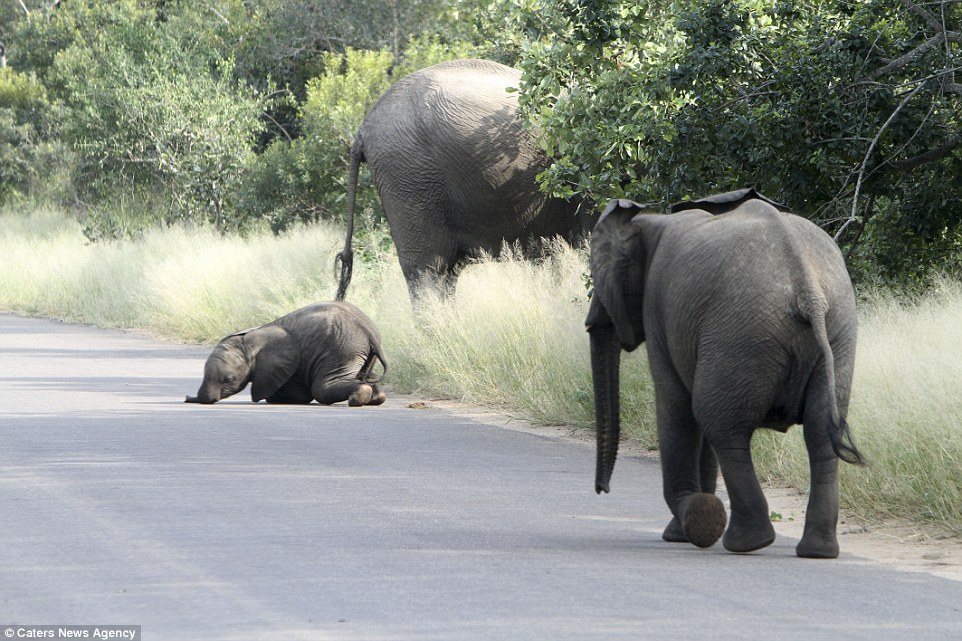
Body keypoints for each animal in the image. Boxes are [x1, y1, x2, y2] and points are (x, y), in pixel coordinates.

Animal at [185, 302, 386, 404]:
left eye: (228, 379)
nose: (188, 398)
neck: (249, 341)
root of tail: (367, 329)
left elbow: (300, 395)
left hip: (342, 349)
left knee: (321, 388)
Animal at [584, 188, 864, 556]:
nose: (602, 490)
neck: (650, 221)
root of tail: (808, 292)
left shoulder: (658, 309)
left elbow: (676, 407)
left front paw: (686, 529)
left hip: (743, 333)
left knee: (721, 426)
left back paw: (744, 541)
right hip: (836, 331)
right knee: (819, 433)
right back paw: (817, 551)